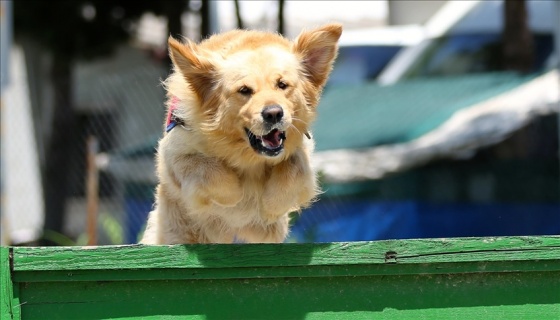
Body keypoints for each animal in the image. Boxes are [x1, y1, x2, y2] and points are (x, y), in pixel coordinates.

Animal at [141, 23, 342, 244]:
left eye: (282, 85)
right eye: (244, 90)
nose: (274, 113)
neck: (247, 157)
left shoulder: (301, 147)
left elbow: (294, 166)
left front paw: (272, 205)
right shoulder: (174, 153)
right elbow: (207, 168)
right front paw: (235, 195)